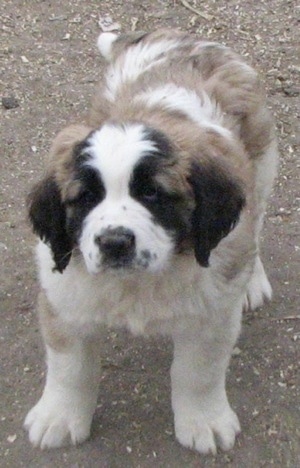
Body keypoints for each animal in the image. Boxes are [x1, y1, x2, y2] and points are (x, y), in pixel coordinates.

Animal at [24, 29, 278, 454]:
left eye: (153, 194)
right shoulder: (66, 295)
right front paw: (58, 416)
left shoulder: (210, 315)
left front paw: (204, 421)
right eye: (86, 198)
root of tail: (176, 36)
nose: (114, 242)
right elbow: (70, 367)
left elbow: (198, 372)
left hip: (260, 168)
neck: (137, 284)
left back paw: (252, 280)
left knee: (255, 223)